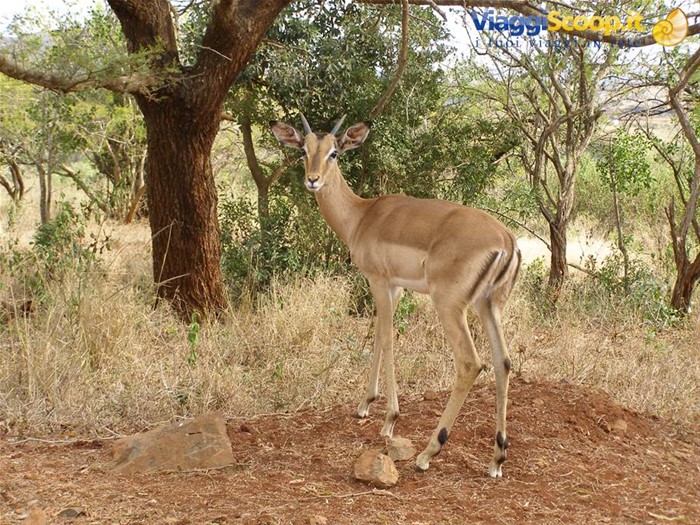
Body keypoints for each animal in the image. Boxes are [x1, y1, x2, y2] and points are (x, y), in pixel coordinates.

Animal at [270, 115, 521, 477]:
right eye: (304, 149)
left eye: (334, 152)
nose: (313, 180)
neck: (361, 216)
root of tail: (506, 240)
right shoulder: (395, 287)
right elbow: (378, 335)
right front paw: (363, 406)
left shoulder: (378, 281)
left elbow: (387, 338)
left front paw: (389, 420)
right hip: (489, 305)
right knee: (503, 362)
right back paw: (497, 458)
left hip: (450, 306)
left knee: (470, 363)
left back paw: (428, 453)